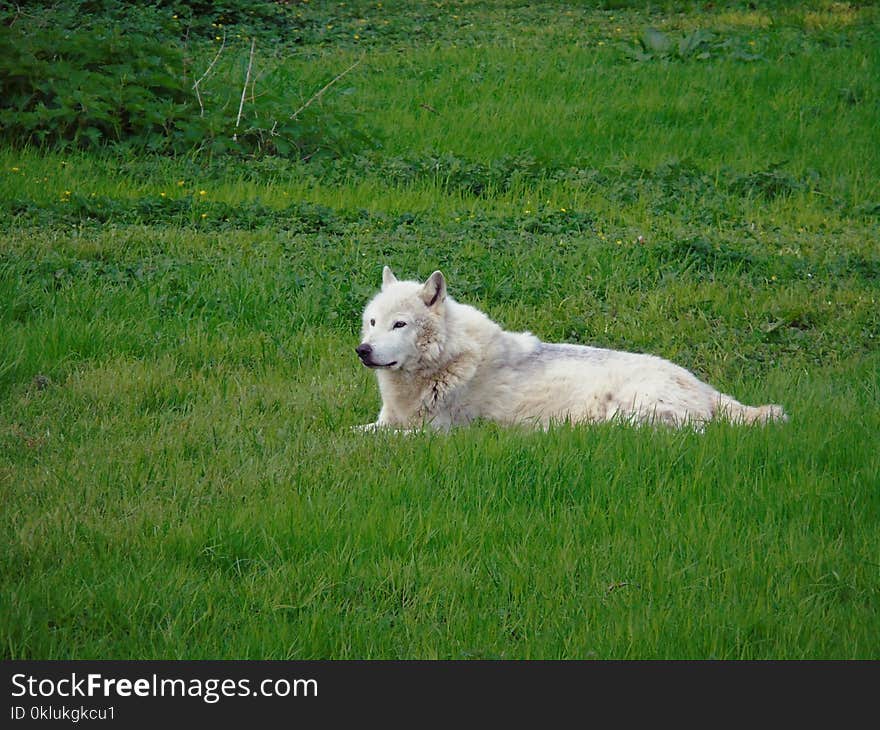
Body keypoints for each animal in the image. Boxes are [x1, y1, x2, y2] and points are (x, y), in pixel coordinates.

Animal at [354, 264, 788, 430]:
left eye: (400, 324)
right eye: (373, 322)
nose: (363, 350)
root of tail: (703, 386)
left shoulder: (434, 433)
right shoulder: (388, 422)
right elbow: (353, 432)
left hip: (627, 412)